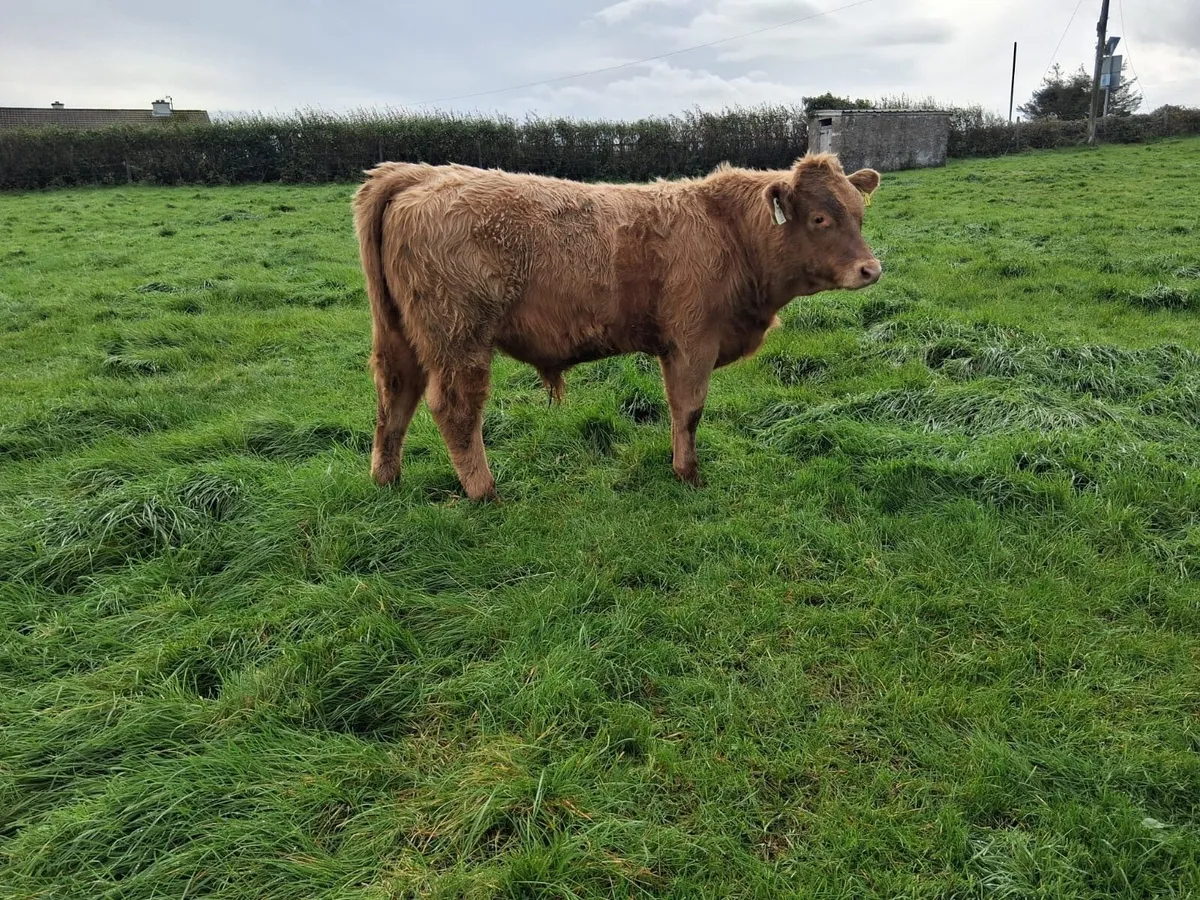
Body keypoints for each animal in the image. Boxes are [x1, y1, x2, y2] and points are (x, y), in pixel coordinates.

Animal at [353, 153, 881, 501]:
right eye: (820, 218)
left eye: (858, 214)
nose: (871, 269)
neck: (729, 231)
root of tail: (421, 173)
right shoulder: (693, 341)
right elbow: (689, 410)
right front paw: (688, 475)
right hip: (459, 337)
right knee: (456, 409)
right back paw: (485, 492)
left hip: (401, 336)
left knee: (395, 397)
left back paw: (387, 480)